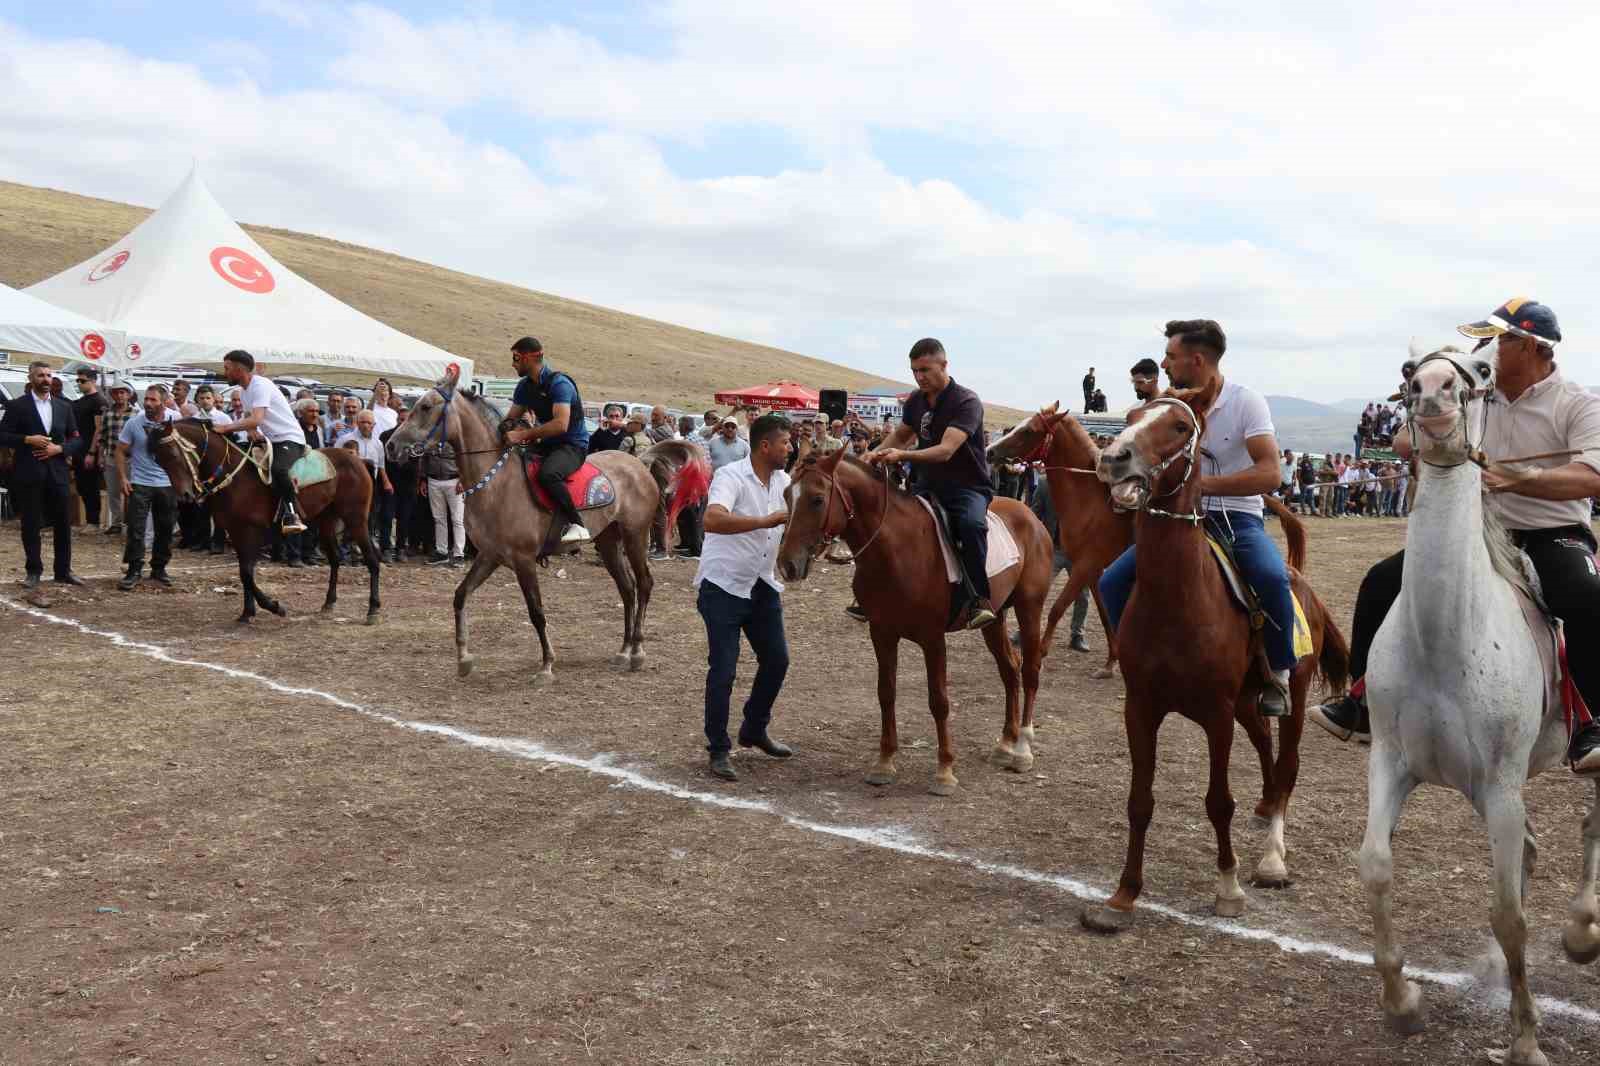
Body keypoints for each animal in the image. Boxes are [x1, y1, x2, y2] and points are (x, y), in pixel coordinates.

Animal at [144, 416, 380, 624]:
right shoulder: (236, 530)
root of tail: (357, 460)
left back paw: (373, 609)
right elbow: (244, 573)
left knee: (371, 559)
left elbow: (247, 573)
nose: (184, 495)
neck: (233, 475)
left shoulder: (252, 531)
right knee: (335, 559)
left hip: (356, 518)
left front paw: (274, 606)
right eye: (158, 460)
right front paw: (248, 612)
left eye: (173, 454)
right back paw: (329, 603)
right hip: (326, 520)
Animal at [777, 444, 1056, 793]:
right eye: (786, 495)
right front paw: (884, 762)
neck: (896, 548)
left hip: (1030, 607)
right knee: (1010, 669)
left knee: (1030, 670)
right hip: (995, 619)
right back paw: (1006, 743)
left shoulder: (932, 639)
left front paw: (945, 770)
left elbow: (939, 700)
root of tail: (1030, 515)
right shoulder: (882, 632)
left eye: (816, 499)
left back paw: (1022, 749)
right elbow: (886, 693)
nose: (787, 564)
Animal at [1075, 377, 1350, 928]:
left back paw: (1272, 859)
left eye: (1180, 427)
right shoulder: (1141, 709)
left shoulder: (1216, 715)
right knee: (1266, 748)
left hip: (1291, 697)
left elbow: (1219, 801)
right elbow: (1140, 800)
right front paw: (1123, 895)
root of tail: (1299, 580)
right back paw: (1265, 808)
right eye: (1131, 416)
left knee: (1288, 764)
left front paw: (1228, 887)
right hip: (1249, 701)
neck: (1179, 600)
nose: (1112, 457)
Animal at [1363, 340, 1600, 1062]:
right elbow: (1376, 869)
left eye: (1481, 371)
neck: (1446, 638)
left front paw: (1525, 1039)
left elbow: (1509, 914)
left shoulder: (1500, 785)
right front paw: (1403, 1002)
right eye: (1409, 373)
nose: (1435, 394)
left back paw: (1583, 930)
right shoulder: (1393, 764)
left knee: (1590, 826)